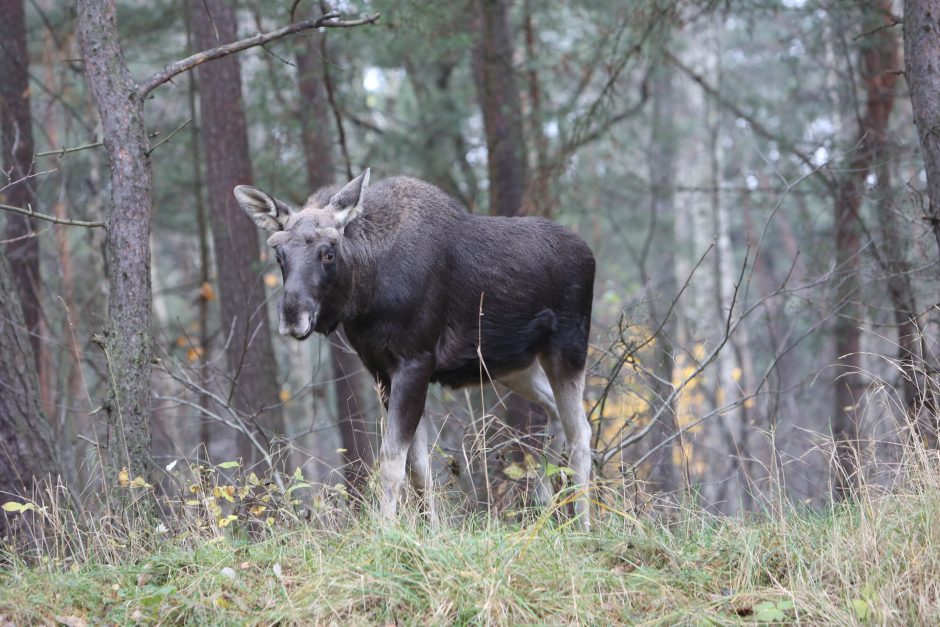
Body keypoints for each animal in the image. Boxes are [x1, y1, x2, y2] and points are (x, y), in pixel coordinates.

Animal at [234, 169, 596, 528]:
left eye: (329, 251)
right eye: (279, 255)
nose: (293, 315)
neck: (366, 293)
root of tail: (590, 254)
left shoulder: (414, 362)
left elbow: (393, 460)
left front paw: (385, 530)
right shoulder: (382, 371)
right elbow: (419, 468)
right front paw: (430, 530)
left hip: (568, 349)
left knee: (580, 432)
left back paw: (582, 524)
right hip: (516, 365)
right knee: (555, 414)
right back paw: (546, 511)